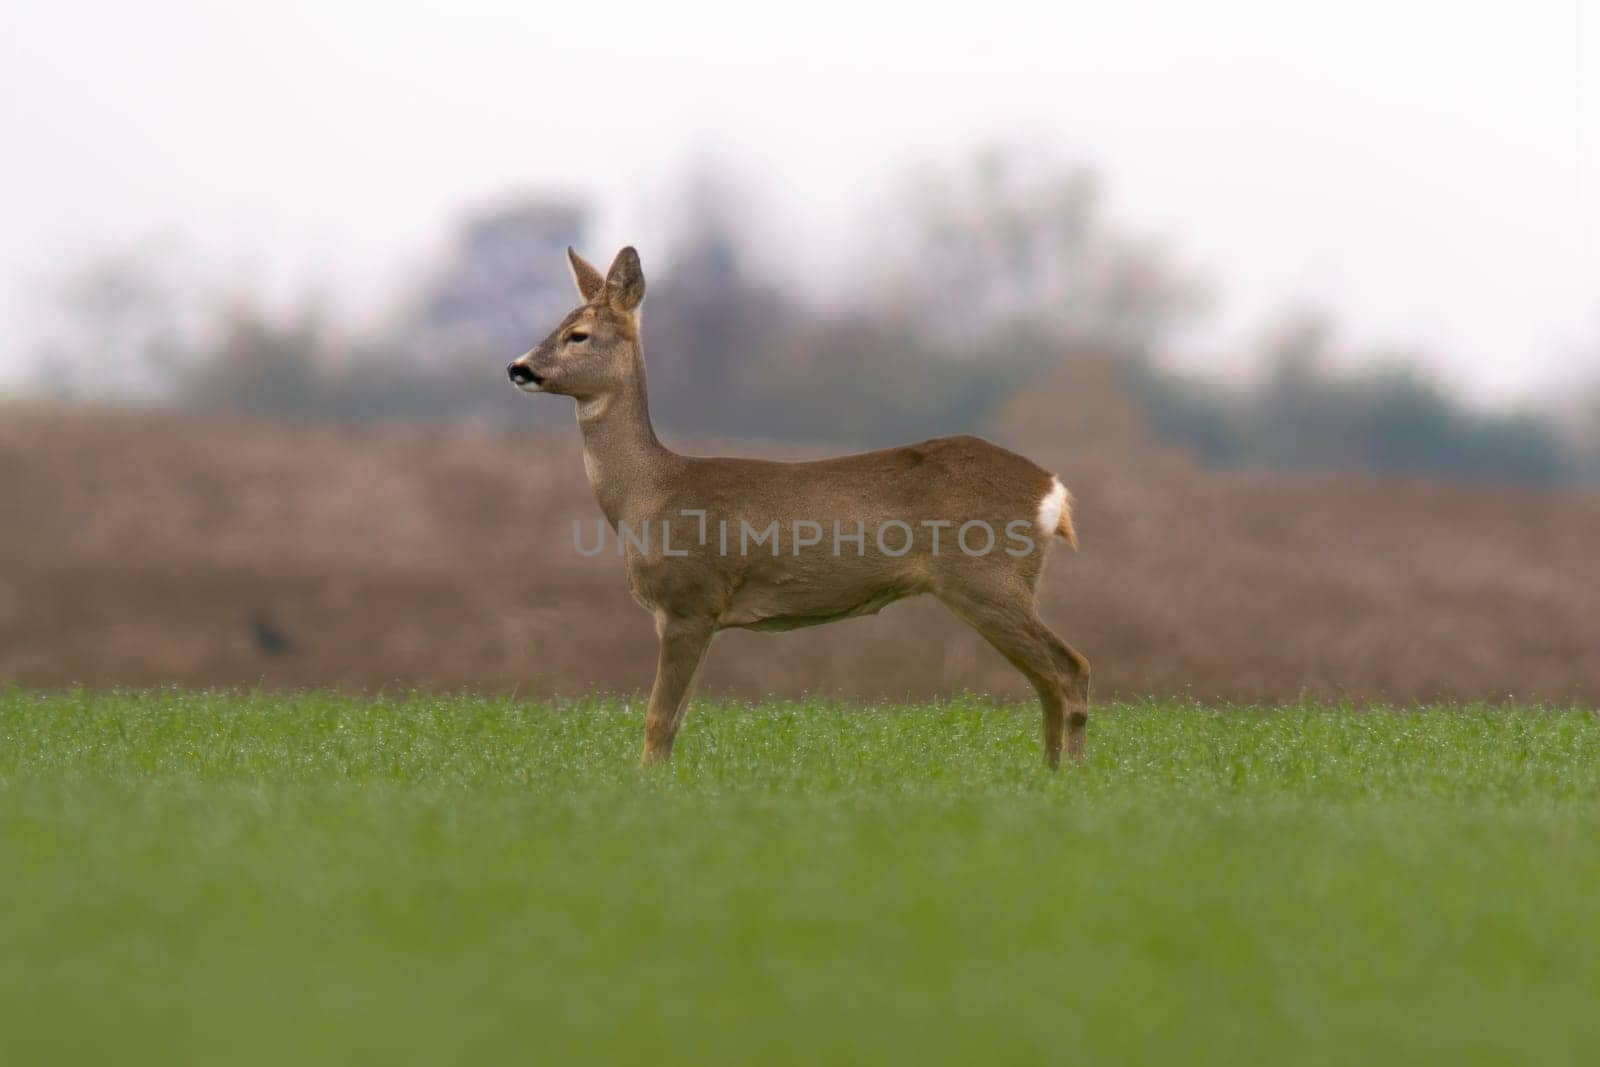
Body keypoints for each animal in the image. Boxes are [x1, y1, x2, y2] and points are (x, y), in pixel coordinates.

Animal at [505, 247, 1094, 767]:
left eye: (578, 334)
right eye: (556, 324)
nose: (518, 368)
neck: (648, 495)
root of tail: (1052, 489)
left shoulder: (689, 600)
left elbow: (657, 720)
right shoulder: (699, 615)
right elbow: (675, 723)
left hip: (987, 578)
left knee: (1070, 668)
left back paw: (1069, 775)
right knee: (1051, 678)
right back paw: (1050, 771)